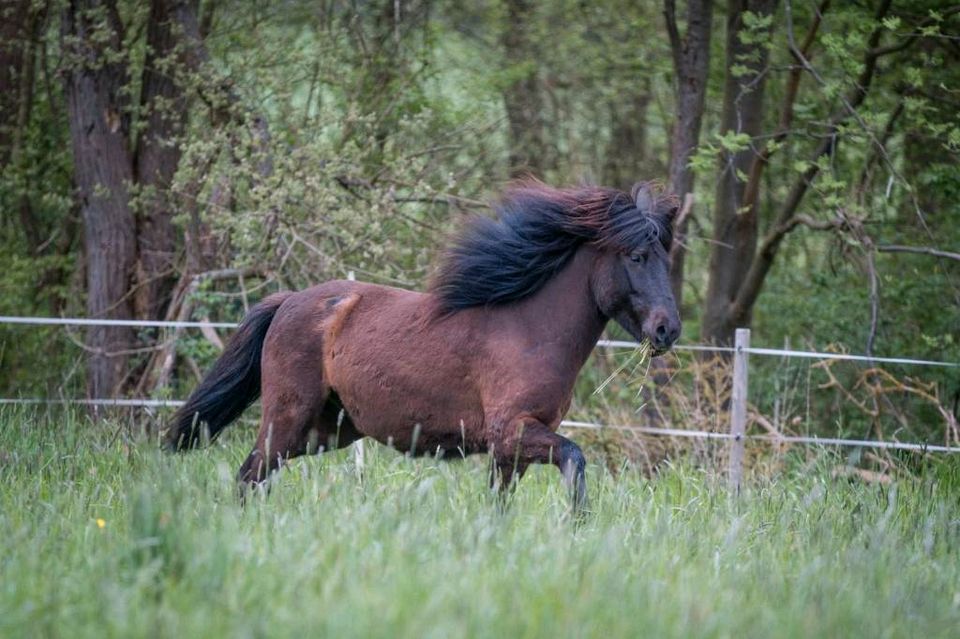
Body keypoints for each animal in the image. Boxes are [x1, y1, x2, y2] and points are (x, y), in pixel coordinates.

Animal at [171, 180, 684, 510]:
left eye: (668, 258)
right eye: (637, 257)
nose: (668, 330)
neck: (531, 331)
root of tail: (288, 301)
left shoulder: (510, 452)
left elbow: (498, 507)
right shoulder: (514, 431)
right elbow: (576, 460)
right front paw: (578, 527)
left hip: (327, 430)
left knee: (257, 476)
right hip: (288, 417)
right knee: (250, 475)